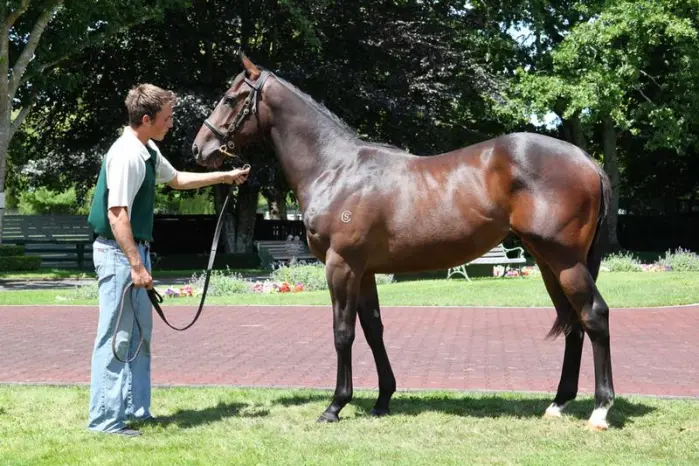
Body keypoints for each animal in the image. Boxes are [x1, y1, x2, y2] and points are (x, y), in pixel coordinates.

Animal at [192, 53, 615, 431]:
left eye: (230, 97)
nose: (200, 148)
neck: (336, 168)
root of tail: (586, 160)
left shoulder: (341, 266)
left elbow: (343, 332)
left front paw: (335, 406)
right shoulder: (364, 272)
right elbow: (373, 330)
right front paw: (382, 400)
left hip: (565, 261)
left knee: (594, 315)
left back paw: (600, 410)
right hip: (547, 262)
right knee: (574, 323)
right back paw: (558, 404)